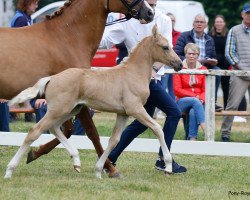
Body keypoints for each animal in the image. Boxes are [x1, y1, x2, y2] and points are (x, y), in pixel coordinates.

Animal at [5, 25, 182, 179]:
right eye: (165, 47)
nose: (179, 64)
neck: (132, 74)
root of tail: (52, 78)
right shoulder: (136, 109)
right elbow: (157, 129)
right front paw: (168, 166)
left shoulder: (123, 114)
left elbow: (114, 140)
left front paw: (99, 170)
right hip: (59, 110)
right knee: (35, 131)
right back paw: (9, 170)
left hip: (71, 110)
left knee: (54, 128)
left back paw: (76, 161)